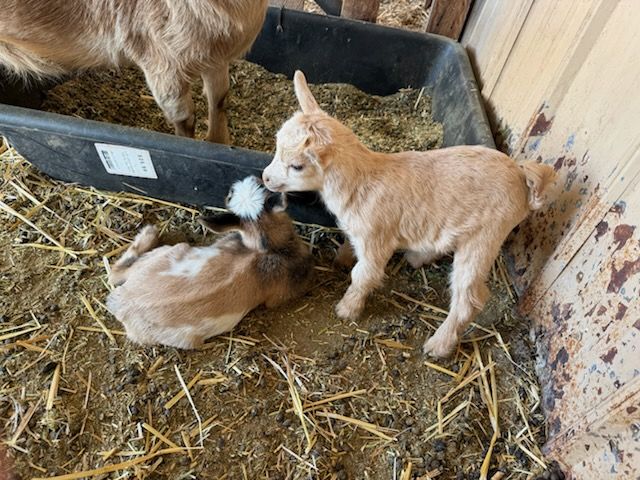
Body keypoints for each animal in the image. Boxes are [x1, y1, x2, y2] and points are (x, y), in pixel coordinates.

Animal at [106, 176, 314, 349]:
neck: (270, 248)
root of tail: (120, 302)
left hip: (166, 254)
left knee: (116, 273)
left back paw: (149, 233)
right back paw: (150, 232)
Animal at [262, 71, 556, 358]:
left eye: (297, 166)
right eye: (276, 145)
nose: (265, 177)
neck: (361, 181)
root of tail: (521, 175)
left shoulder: (376, 239)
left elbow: (364, 275)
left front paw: (347, 309)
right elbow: (349, 249)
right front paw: (341, 260)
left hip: (485, 237)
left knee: (469, 299)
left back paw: (439, 346)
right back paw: (418, 257)